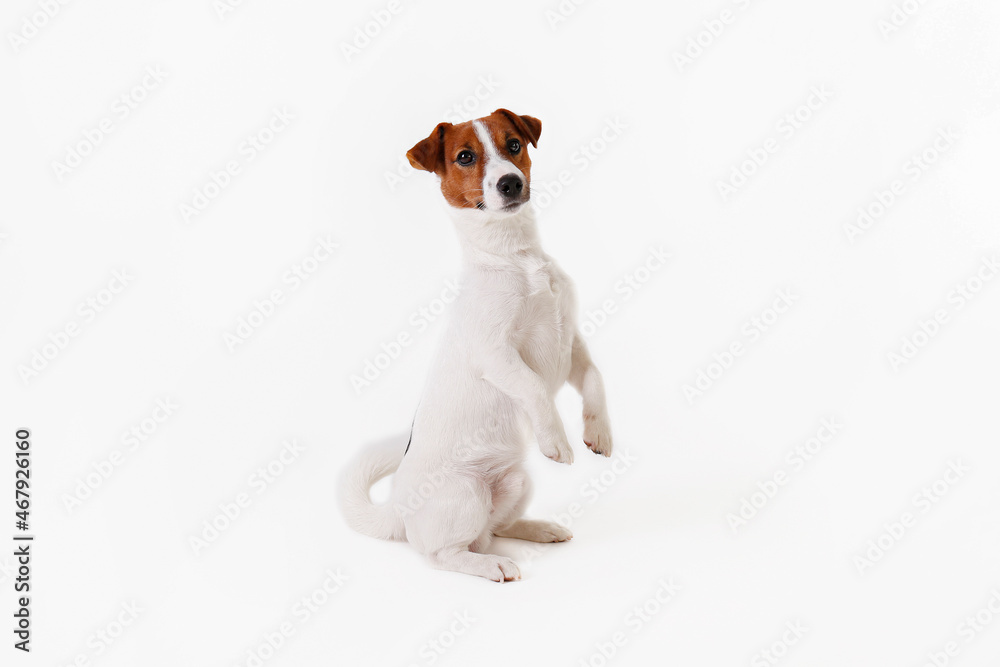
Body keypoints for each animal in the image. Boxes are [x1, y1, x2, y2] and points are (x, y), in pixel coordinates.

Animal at [340, 107, 612, 580]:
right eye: (465, 156)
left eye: (514, 145)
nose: (511, 183)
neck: (516, 256)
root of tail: (398, 512)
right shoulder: (496, 355)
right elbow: (535, 388)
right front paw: (557, 440)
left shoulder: (571, 342)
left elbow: (595, 378)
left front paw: (598, 431)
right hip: (465, 494)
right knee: (445, 553)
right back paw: (492, 566)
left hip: (518, 481)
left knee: (496, 528)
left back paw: (538, 529)